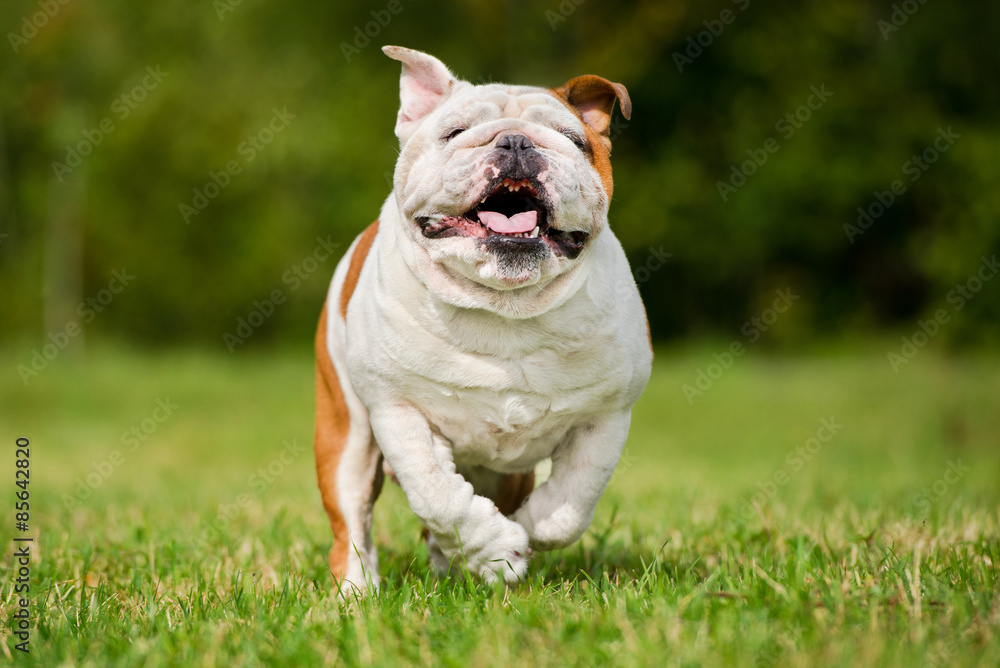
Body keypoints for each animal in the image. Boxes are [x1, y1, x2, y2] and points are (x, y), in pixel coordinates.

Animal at [316, 45, 652, 588]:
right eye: (454, 132)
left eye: (574, 140)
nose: (515, 141)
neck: (504, 306)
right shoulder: (398, 411)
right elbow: (438, 495)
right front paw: (495, 547)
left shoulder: (605, 416)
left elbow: (572, 503)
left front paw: (527, 528)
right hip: (345, 436)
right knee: (352, 523)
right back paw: (357, 591)